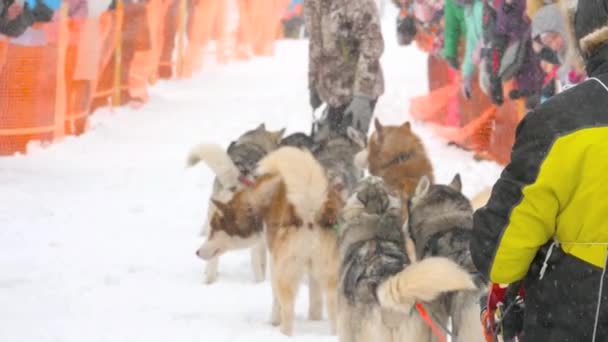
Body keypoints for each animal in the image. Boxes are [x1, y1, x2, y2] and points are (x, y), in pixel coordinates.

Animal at [189, 123, 284, 284]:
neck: (253, 143)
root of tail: (237, 180)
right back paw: (259, 283)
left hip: (215, 225)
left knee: (212, 259)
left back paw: (209, 281)